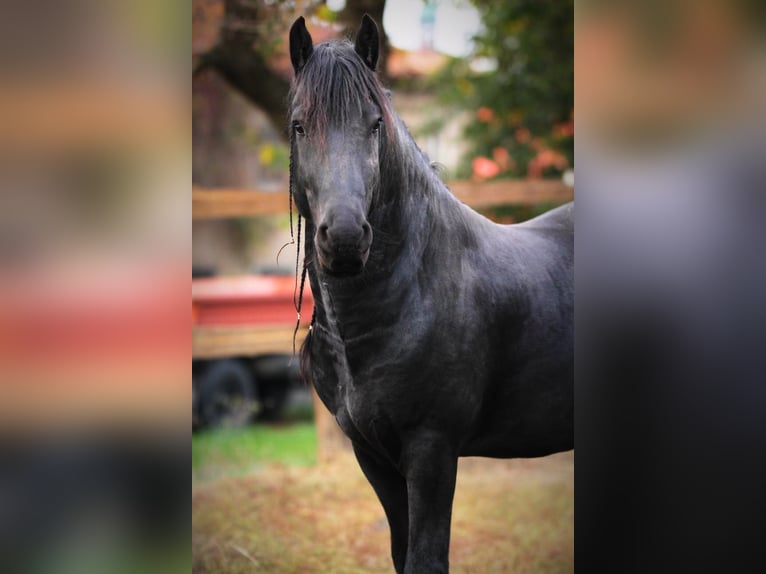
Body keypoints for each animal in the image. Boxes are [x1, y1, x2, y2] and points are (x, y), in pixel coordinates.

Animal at [290, 14, 576, 574]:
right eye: (298, 126)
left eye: (375, 125)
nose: (346, 238)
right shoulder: (373, 456)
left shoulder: (432, 451)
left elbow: (426, 559)